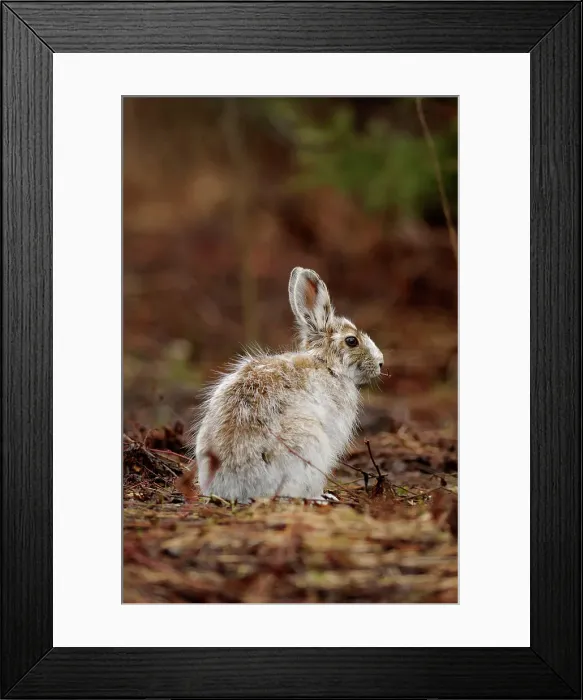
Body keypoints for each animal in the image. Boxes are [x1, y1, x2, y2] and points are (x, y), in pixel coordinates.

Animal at [191, 267, 385, 503]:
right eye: (351, 341)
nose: (381, 363)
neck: (327, 364)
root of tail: (237, 488)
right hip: (310, 447)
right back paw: (321, 498)